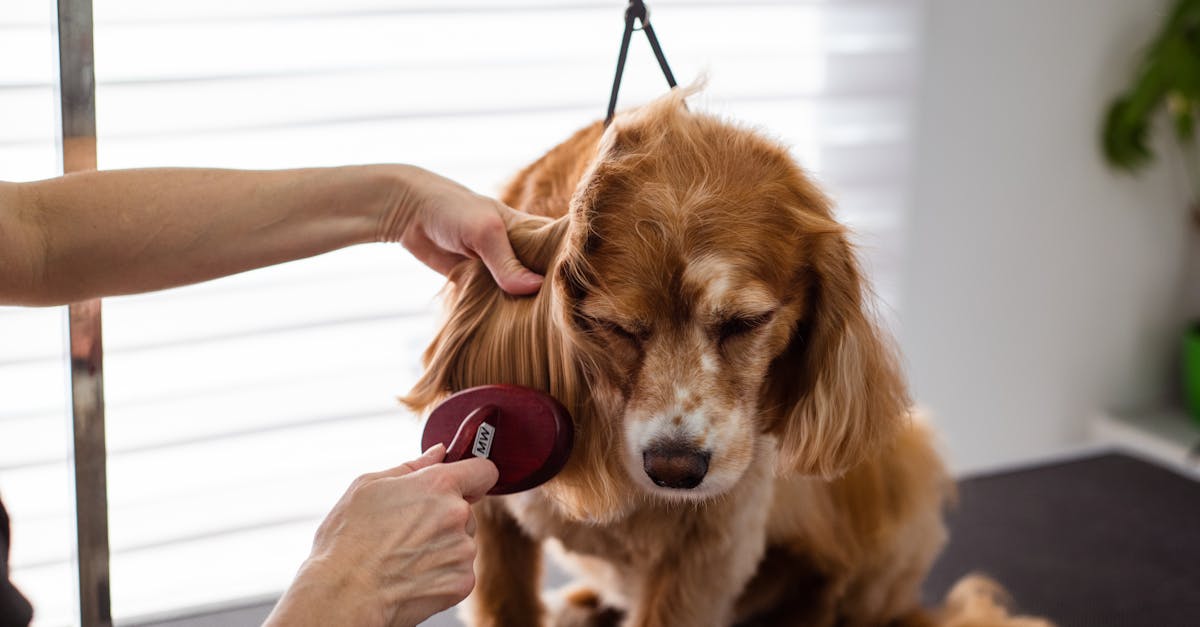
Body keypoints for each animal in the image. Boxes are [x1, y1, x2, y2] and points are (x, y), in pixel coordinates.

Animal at [403, 88, 1041, 624]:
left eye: (746, 323)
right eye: (615, 327)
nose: (675, 469)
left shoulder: (707, 552)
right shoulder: (491, 519)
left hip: (907, 465)